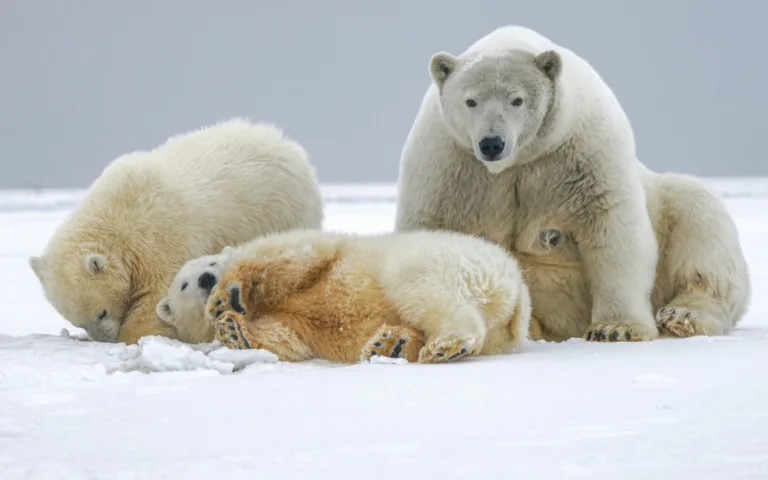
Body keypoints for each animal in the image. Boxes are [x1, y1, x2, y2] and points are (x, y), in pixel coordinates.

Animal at [28, 120, 324, 344]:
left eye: (101, 313)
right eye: (78, 321)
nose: (105, 339)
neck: (115, 219)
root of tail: (290, 146)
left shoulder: (157, 238)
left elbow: (157, 294)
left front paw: (137, 336)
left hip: (281, 209)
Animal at [154, 229, 532, 364]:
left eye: (212, 263)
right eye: (184, 284)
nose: (207, 279)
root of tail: (516, 285)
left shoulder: (321, 251)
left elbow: (293, 256)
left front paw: (229, 295)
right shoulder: (288, 322)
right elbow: (286, 337)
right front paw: (235, 331)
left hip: (442, 261)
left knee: (425, 289)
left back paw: (445, 345)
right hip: (497, 327)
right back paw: (390, 344)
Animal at [396, 25, 752, 342]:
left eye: (517, 100)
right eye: (470, 101)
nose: (492, 143)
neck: (518, 161)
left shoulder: (583, 152)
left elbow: (613, 227)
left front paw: (616, 328)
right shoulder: (448, 165)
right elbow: (429, 231)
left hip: (671, 206)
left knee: (701, 226)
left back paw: (683, 314)